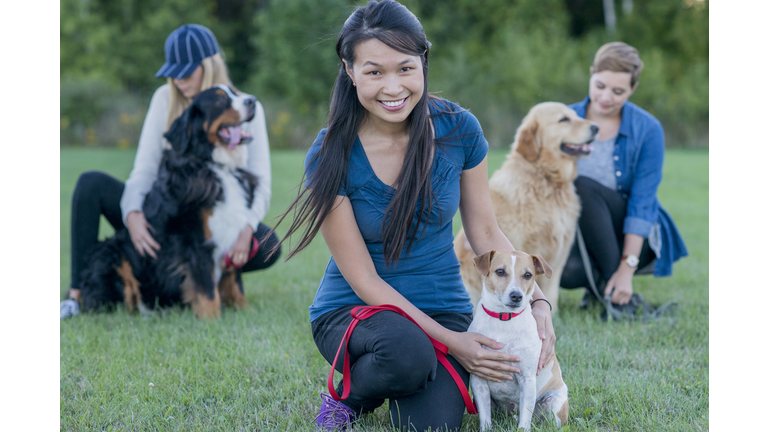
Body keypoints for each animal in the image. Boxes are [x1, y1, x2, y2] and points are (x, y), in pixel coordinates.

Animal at [80, 84, 260, 318]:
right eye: (220, 101)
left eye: (235, 92)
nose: (253, 101)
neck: (216, 166)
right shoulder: (195, 241)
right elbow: (207, 289)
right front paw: (212, 319)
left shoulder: (234, 238)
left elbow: (235, 284)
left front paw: (247, 312)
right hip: (112, 256)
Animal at [456, 102, 600, 310]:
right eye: (564, 119)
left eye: (575, 116)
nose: (597, 127)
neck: (546, 180)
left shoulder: (559, 255)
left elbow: (550, 295)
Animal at [464, 250, 568, 432]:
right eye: (500, 271)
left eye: (527, 275)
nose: (516, 296)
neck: (503, 319)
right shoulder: (479, 380)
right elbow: (485, 418)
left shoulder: (527, 379)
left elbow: (525, 419)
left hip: (553, 403)